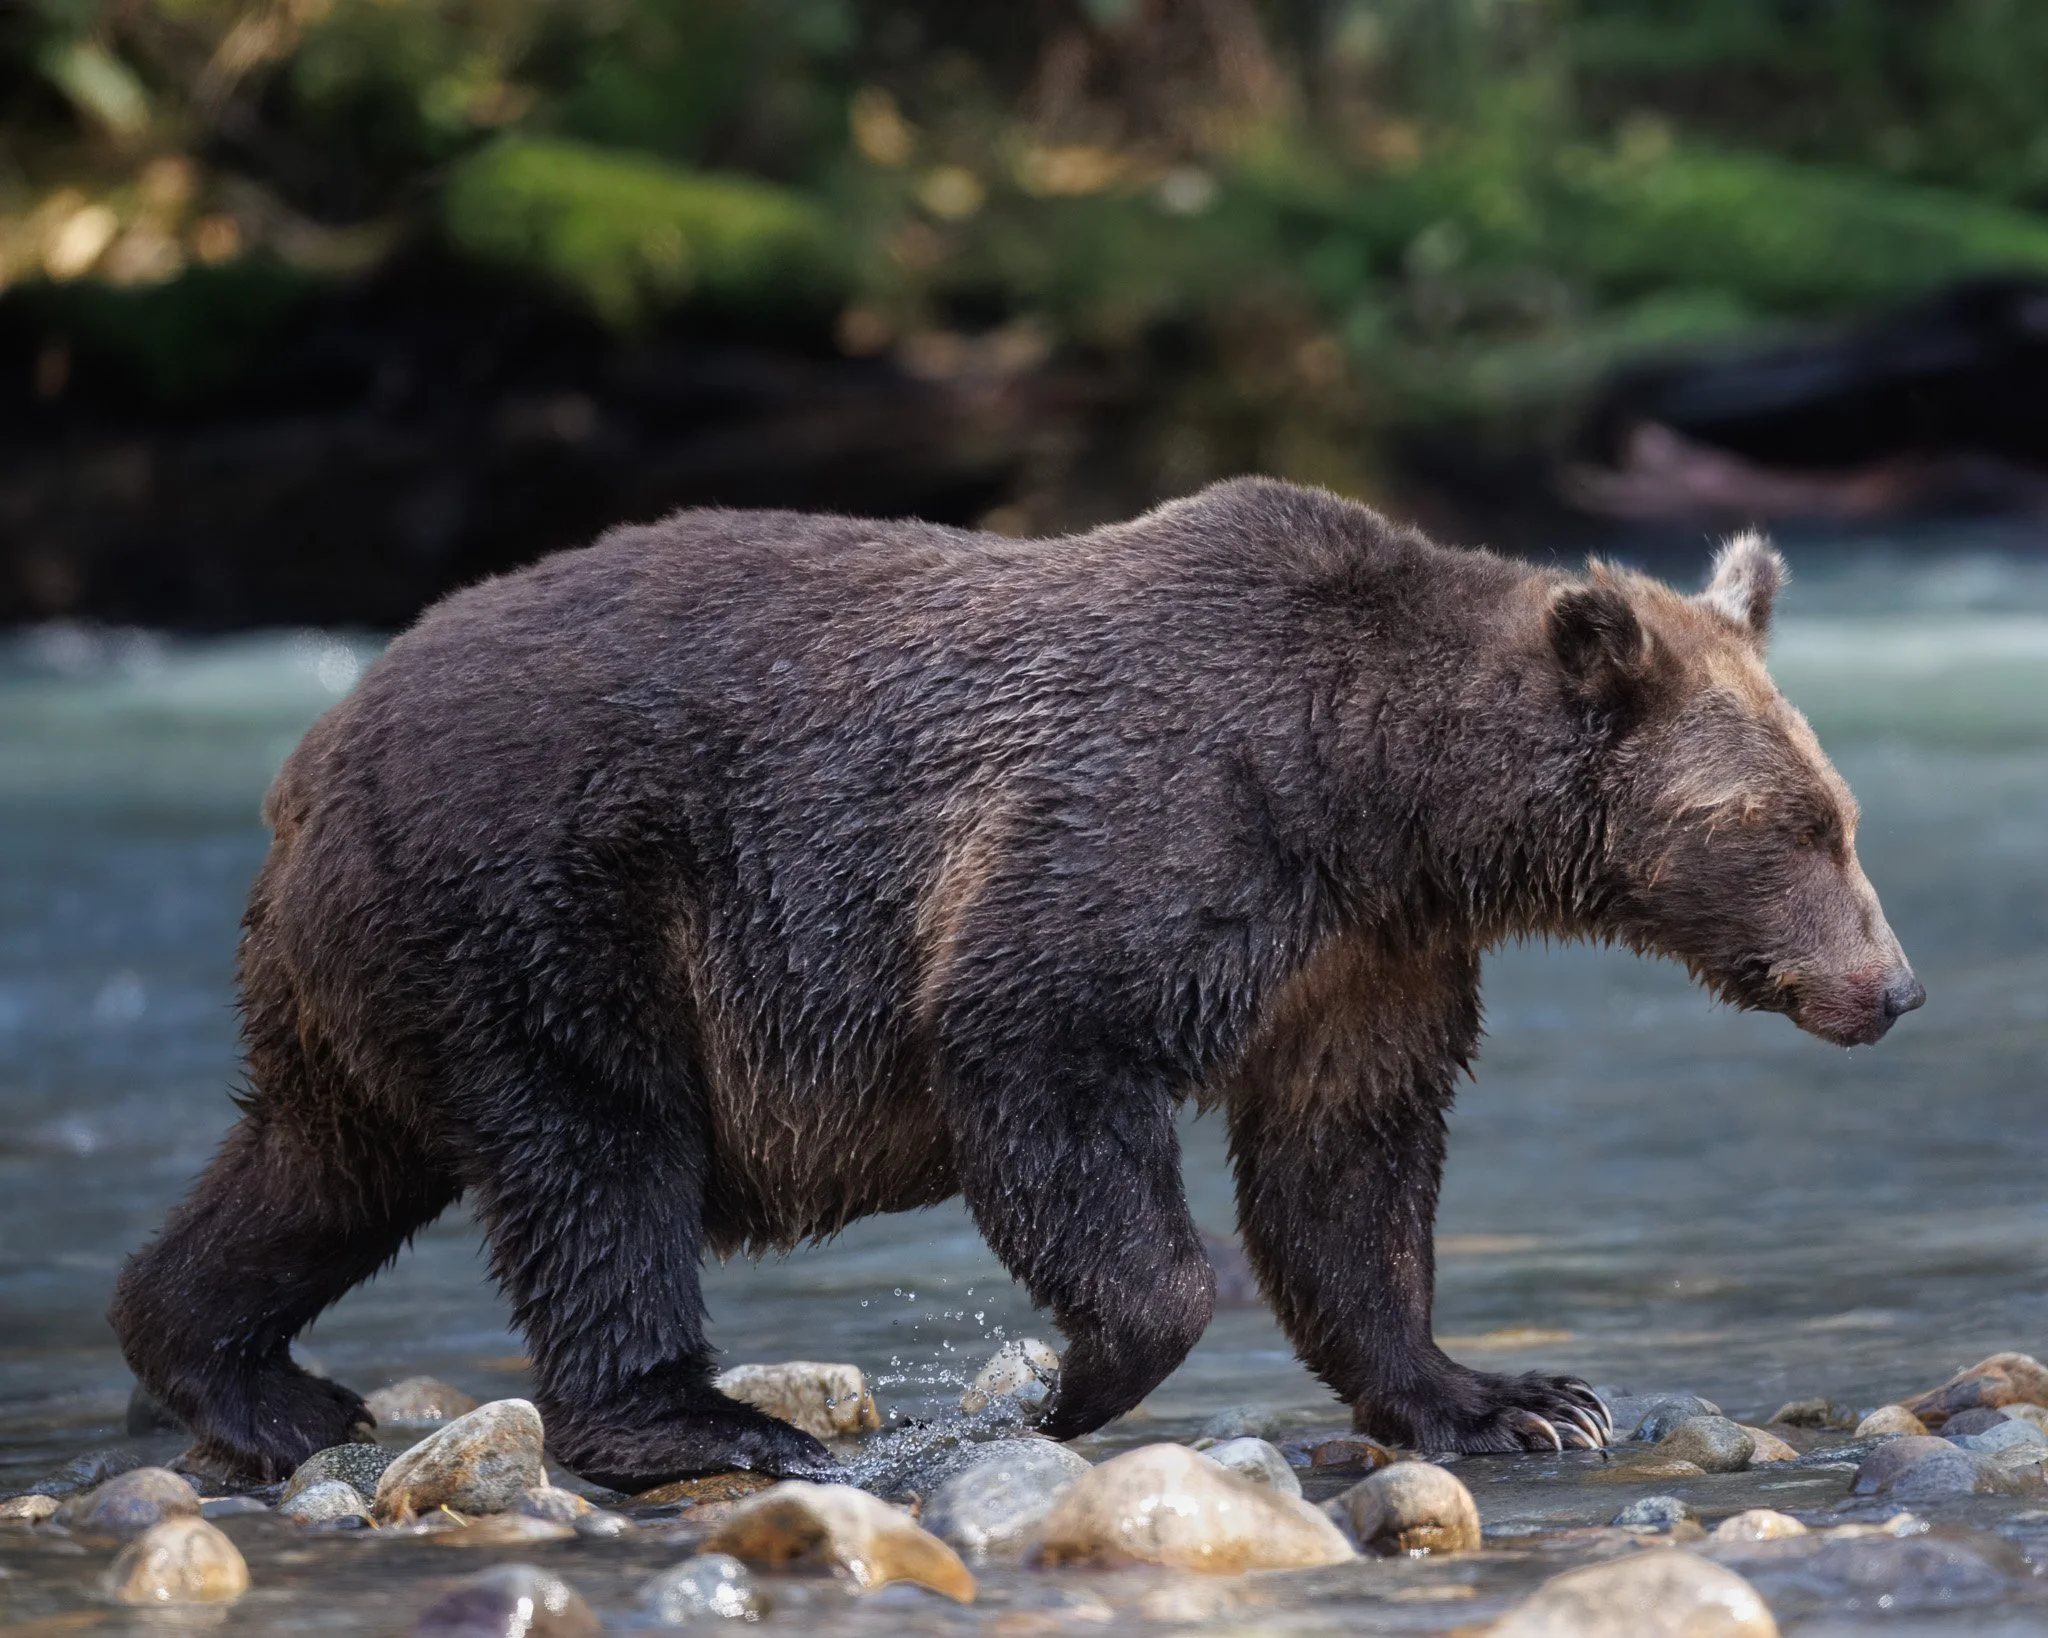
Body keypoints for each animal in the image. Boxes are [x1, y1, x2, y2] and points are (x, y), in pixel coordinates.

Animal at [110, 477, 1922, 1489]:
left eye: (1839, 811)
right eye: (1787, 821)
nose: (1891, 985)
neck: (1377, 791)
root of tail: (309, 754)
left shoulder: (1361, 956)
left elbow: (1348, 1170)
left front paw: (1513, 1396)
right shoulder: (1146, 828)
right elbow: (1042, 1057)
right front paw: (1070, 1379)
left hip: (370, 976)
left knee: (319, 1160)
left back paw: (250, 1378)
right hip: (544, 897)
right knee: (594, 1154)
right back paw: (708, 1421)